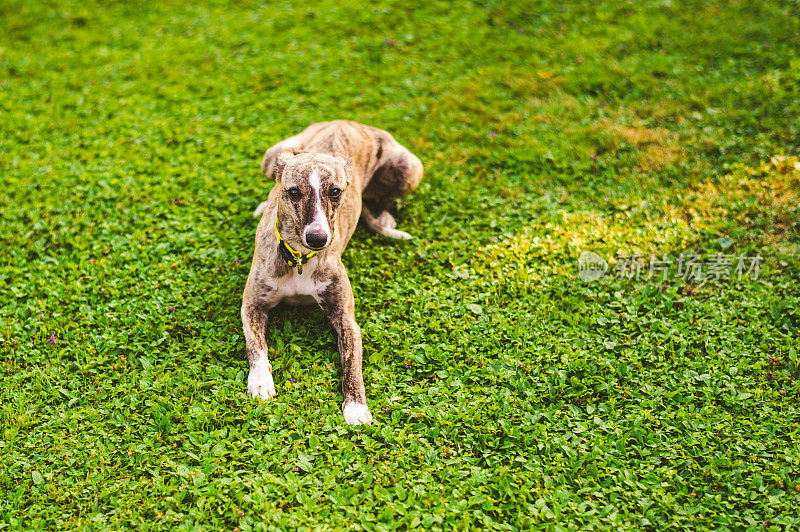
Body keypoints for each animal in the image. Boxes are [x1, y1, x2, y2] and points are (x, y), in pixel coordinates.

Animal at [239, 119, 422, 424]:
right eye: (293, 192)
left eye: (335, 191)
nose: (318, 238)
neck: (300, 259)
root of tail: (346, 121)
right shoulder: (253, 305)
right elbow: (256, 346)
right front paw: (260, 381)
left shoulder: (346, 318)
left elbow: (353, 365)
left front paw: (357, 407)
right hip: (272, 155)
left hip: (408, 168)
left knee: (386, 200)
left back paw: (385, 217)